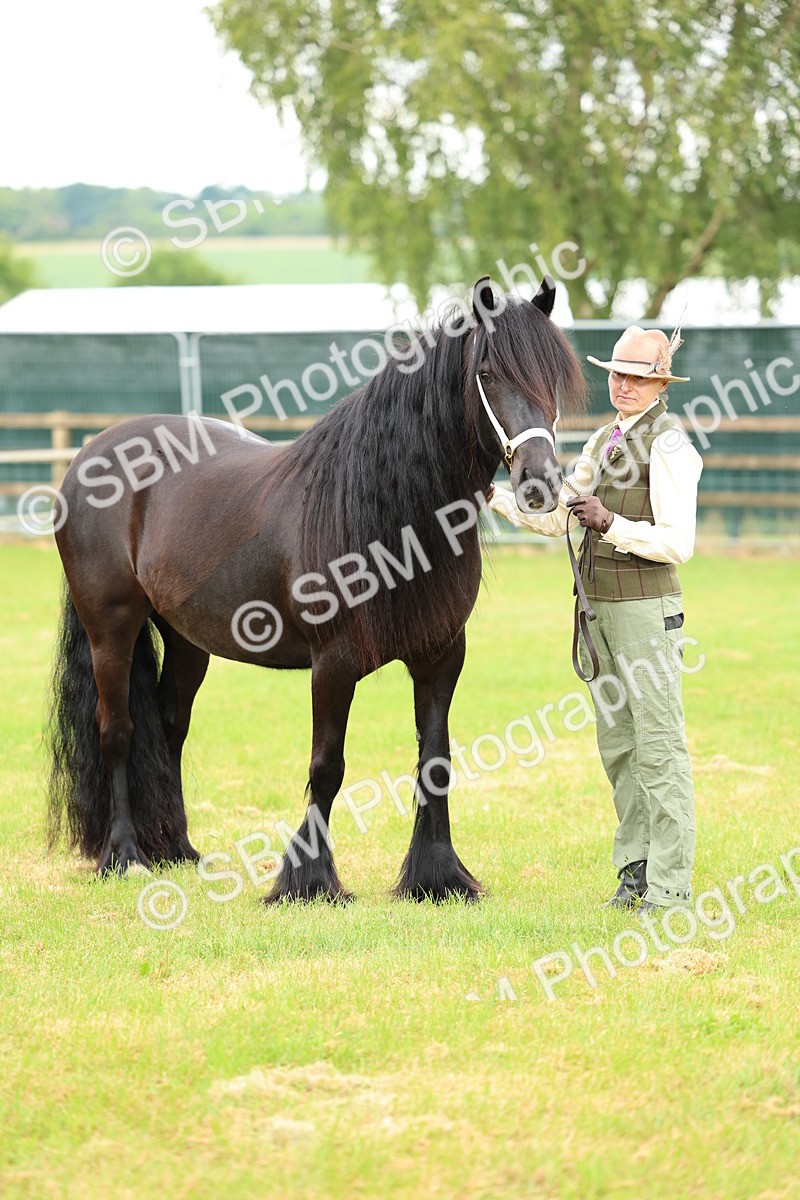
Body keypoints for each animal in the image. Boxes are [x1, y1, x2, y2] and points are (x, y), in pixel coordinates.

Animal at [47, 275, 584, 902]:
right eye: (489, 372)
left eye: (554, 378)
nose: (540, 483)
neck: (389, 513)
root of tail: (90, 452)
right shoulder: (333, 662)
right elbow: (327, 766)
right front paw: (307, 882)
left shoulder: (441, 655)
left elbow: (435, 760)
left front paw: (436, 878)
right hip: (111, 627)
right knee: (118, 731)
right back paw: (126, 857)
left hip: (185, 639)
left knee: (170, 727)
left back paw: (177, 850)